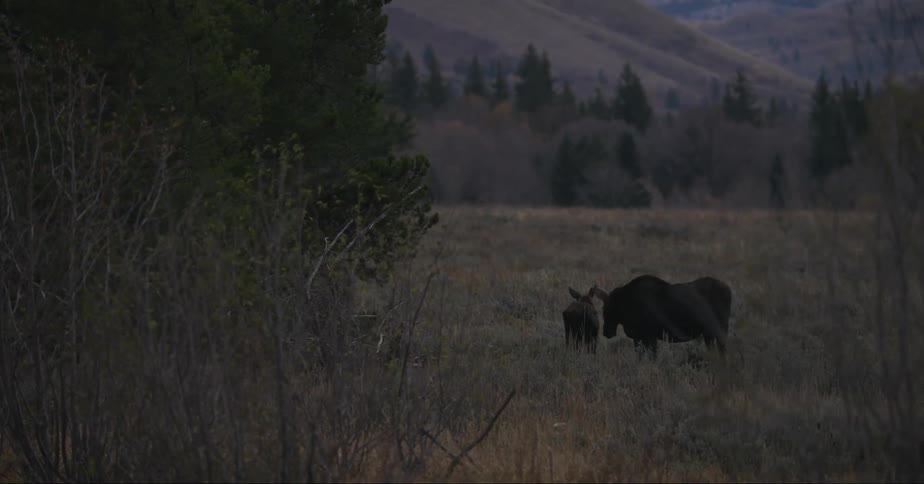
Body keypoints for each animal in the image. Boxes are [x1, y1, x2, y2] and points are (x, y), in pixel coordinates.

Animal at [591, 275, 732, 357]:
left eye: (606, 310)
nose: (606, 332)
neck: (625, 304)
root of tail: (729, 290)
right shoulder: (641, 337)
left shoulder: (647, 336)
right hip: (709, 333)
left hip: (718, 330)